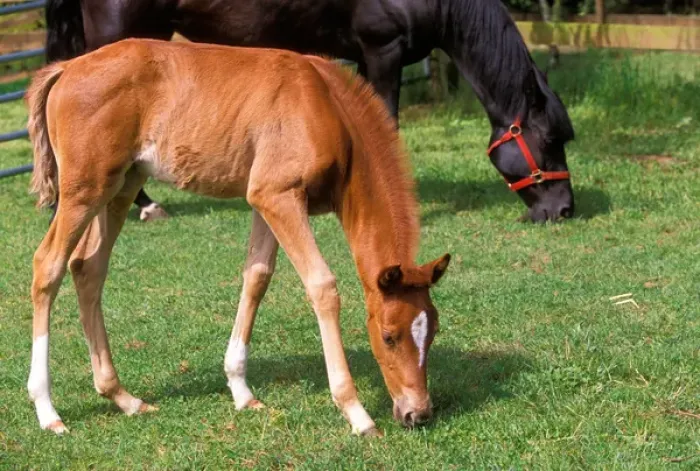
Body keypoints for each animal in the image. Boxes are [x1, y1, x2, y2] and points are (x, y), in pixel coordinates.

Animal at [25, 39, 452, 435]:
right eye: (389, 336)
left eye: (432, 331)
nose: (418, 413)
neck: (326, 107)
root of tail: (66, 68)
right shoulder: (279, 196)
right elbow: (322, 285)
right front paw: (357, 413)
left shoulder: (266, 199)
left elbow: (257, 277)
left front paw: (241, 391)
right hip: (84, 190)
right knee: (48, 265)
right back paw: (47, 410)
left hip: (121, 186)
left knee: (88, 268)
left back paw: (122, 397)